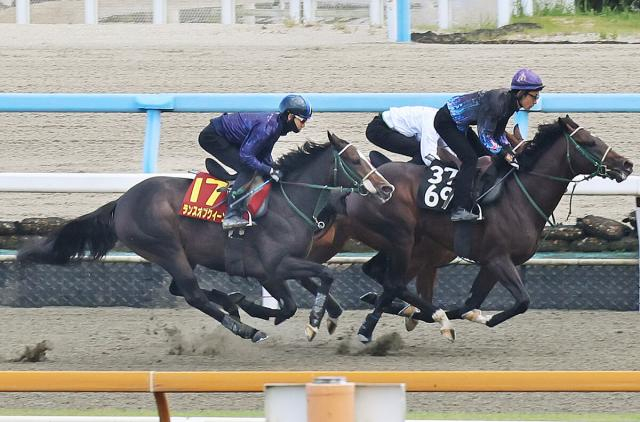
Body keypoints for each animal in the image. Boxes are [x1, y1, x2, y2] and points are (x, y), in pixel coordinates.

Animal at [16, 132, 396, 342]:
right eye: (353, 160)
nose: (386, 188)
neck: (289, 201)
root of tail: (122, 201)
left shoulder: (280, 267)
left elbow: (312, 290)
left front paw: (318, 315)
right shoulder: (273, 267)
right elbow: (307, 291)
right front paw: (307, 320)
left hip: (183, 254)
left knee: (182, 289)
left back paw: (232, 303)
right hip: (166, 248)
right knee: (192, 294)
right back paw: (245, 328)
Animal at [308, 116, 632, 342]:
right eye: (589, 142)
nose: (626, 165)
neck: (518, 196)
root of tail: (359, 187)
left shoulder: (490, 263)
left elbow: (470, 303)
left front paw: (437, 314)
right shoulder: (496, 259)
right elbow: (520, 301)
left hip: (396, 243)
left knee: (380, 275)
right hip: (397, 240)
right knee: (387, 279)